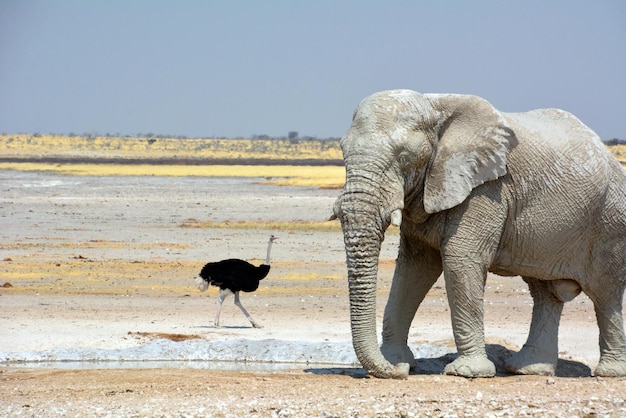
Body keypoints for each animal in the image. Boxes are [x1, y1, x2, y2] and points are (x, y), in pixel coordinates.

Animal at [332, 88, 624, 378]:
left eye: (404, 157)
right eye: (343, 151)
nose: (398, 373)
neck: (433, 104)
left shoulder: (486, 189)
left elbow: (461, 260)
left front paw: (467, 372)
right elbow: (413, 269)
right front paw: (397, 362)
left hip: (609, 222)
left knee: (605, 295)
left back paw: (608, 372)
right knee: (545, 293)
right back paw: (528, 369)